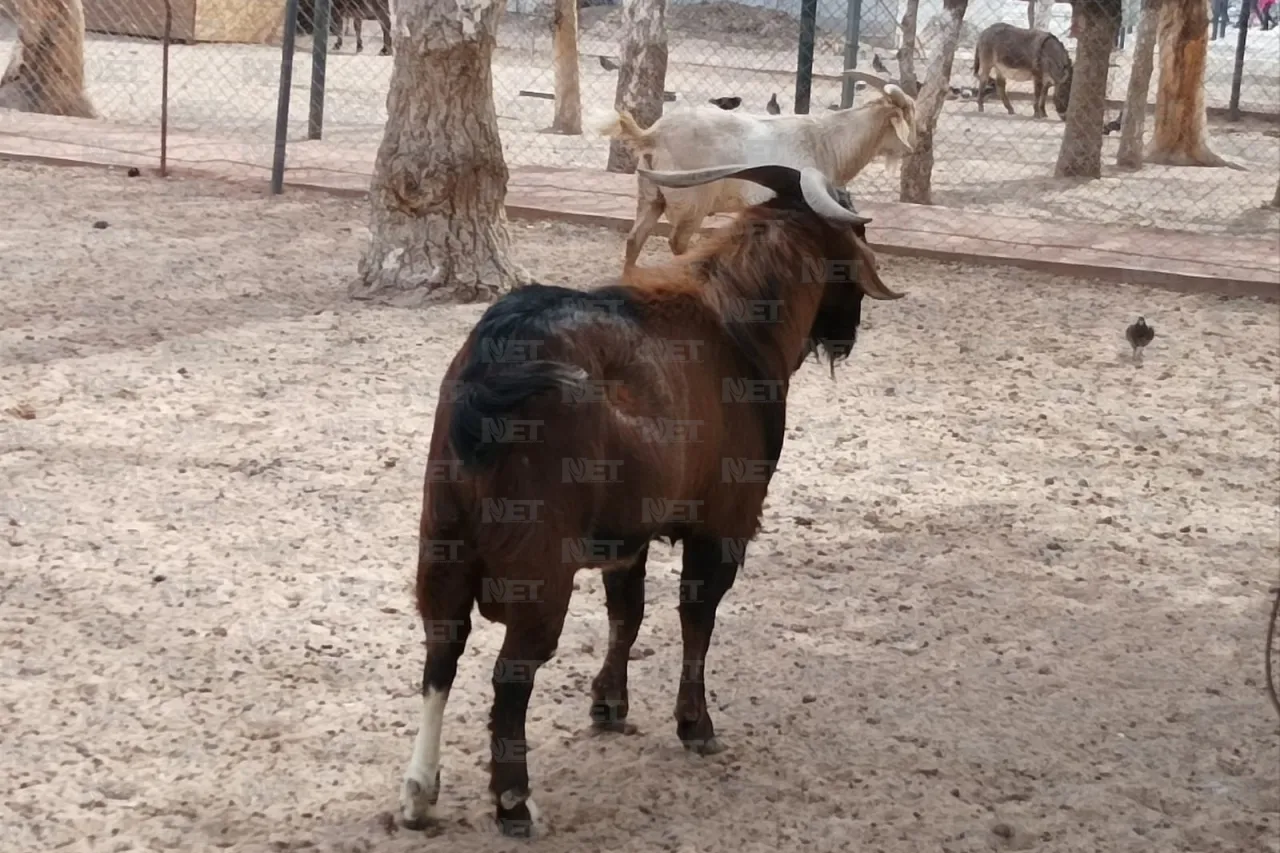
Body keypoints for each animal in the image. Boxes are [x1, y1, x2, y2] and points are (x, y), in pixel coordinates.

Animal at [394, 161, 906, 835]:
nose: (846, 333)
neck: (735, 324)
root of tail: (492, 372)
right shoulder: (724, 522)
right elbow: (697, 618)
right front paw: (696, 725)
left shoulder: (628, 534)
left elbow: (626, 612)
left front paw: (609, 705)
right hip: (537, 564)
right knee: (511, 675)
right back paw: (514, 803)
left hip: (444, 538)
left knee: (441, 652)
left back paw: (419, 794)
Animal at [593, 73, 916, 274]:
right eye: (908, 115)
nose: (913, 147)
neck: (825, 140)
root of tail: (652, 134)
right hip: (692, 201)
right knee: (678, 242)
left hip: (651, 196)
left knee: (635, 239)